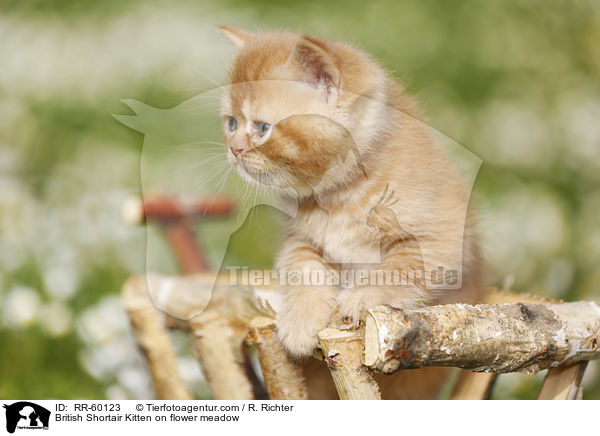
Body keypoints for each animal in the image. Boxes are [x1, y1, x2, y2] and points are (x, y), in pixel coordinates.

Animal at [218, 27, 486, 368]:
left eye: (262, 128)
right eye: (231, 123)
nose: (234, 149)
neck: (337, 197)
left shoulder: (444, 238)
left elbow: (401, 267)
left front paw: (361, 297)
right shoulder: (300, 240)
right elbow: (303, 270)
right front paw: (300, 320)